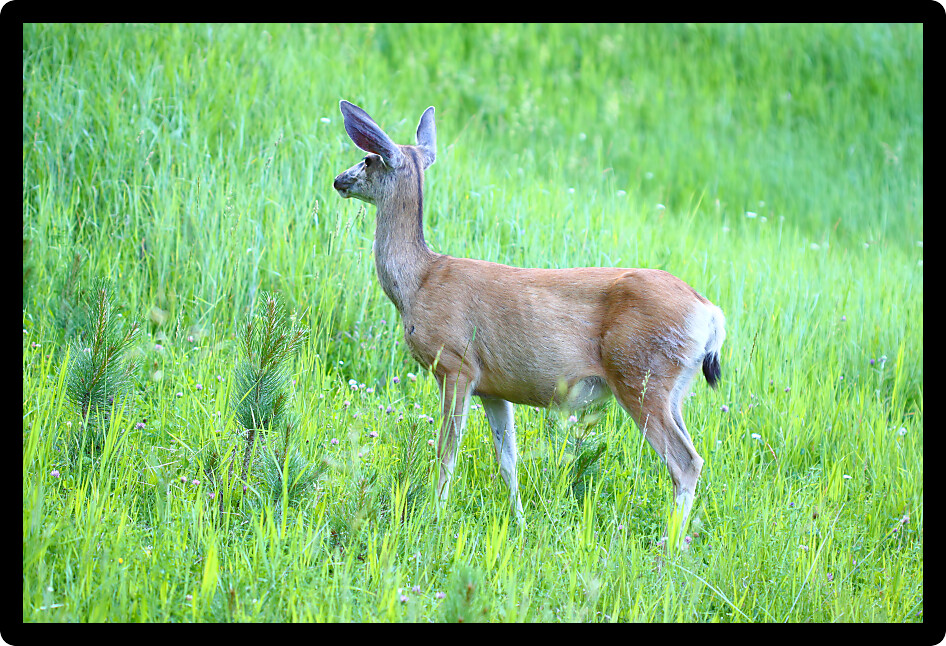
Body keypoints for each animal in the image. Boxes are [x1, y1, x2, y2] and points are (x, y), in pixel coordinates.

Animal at [332, 100, 726, 547]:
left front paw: (434, 515)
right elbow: (508, 460)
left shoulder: (455, 364)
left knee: (686, 461)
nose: (338, 180)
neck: (417, 282)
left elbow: (447, 454)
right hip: (672, 388)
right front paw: (518, 524)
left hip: (639, 375)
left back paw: (667, 548)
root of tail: (710, 313)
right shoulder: (492, 387)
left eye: (367, 158)